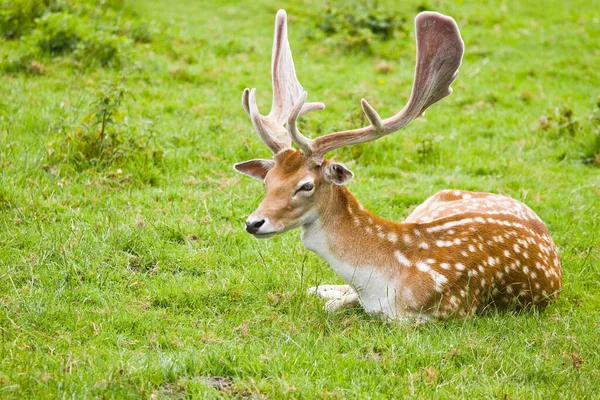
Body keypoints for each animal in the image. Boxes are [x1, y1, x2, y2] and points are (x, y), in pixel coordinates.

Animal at [233, 10, 564, 322]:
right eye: (268, 181)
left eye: (306, 185)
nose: (253, 222)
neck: (385, 282)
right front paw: (324, 291)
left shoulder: (449, 310)